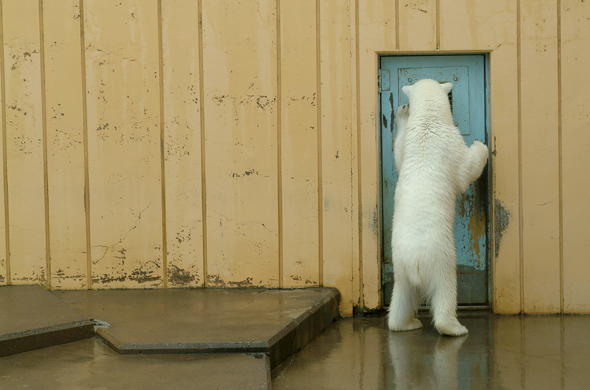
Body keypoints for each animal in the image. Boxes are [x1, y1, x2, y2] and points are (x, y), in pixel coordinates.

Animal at [388, 78, 490, 336]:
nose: (403, 107)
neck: (427, 123)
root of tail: (414, 262)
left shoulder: (408, 145)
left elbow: (398, 154)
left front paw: (402, 112)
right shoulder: (450, 143)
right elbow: (466, 171)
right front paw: (480, 144)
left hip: (399, 268)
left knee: (401, 296)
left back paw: (407, 323)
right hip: (441, 258)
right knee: (446, 288)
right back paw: (456, 328)